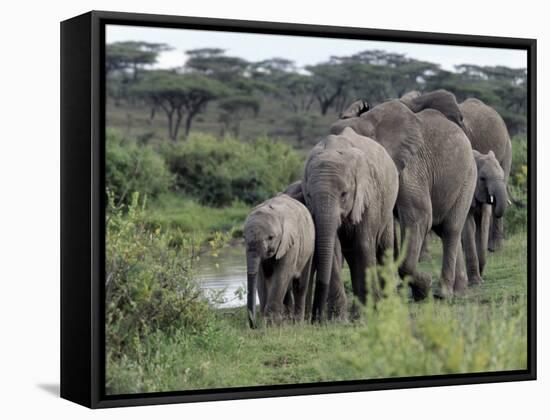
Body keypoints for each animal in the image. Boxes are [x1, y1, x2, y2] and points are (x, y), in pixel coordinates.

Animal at [245, 194, 316, 328]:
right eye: (243, 237)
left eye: (270, 237)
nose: (254, 326)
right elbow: (261, 278)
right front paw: (267, 322)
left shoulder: (291, 243)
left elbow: (282, 275)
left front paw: (271, 324)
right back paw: (286, 320)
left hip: (310, 247)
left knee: (300, 284)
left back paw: (297, 323)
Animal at [304, 126, 398, 320]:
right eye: (308, 195)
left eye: (344, 194)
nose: (315, 318)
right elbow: (333, 248)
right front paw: (337, 319)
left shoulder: (370, 195)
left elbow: (364, 244)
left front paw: (372, 313)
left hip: (387, 209)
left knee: (383, 249)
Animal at [332, 100, 478, 300]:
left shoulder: (412, 167)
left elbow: (419, 217)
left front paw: (424, 287)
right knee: (443, 230)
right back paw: (460, 292)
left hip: (468, 177)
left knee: (451, 229)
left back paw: (444, 294)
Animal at [464, 149, 512, 284]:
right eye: (482, 178)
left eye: (502, 175)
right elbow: (469, 226)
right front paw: (476, 282)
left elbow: (483, 223)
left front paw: (480, 277)